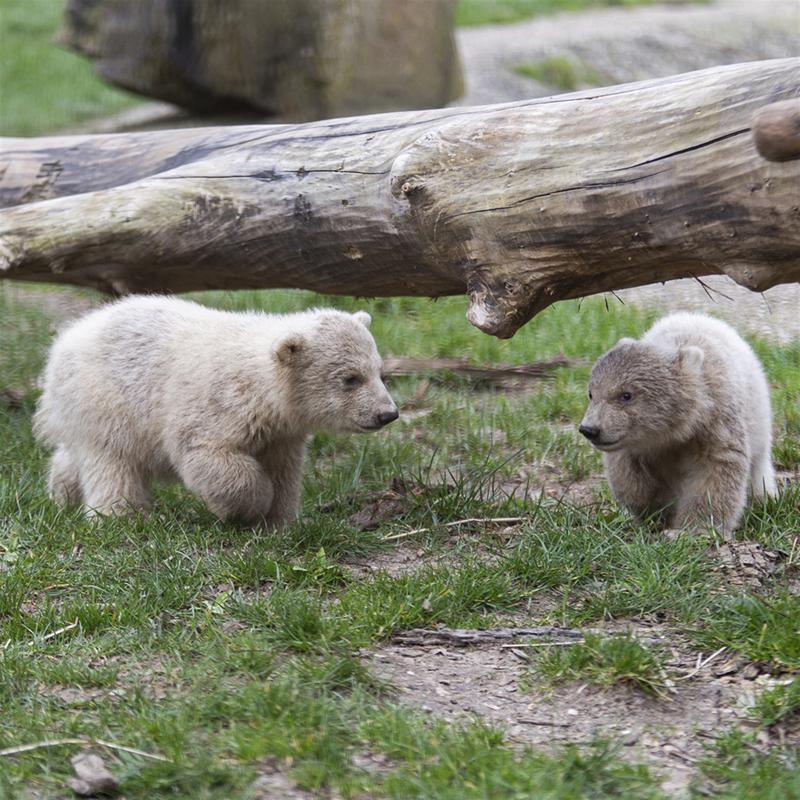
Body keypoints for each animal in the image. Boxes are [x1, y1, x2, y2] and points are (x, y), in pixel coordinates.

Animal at [33, 296, 398, 526]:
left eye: (378, 372)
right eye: (350, 379)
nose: (388, 413)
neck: (260, 385)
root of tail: (64, 341)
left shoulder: (282, 432)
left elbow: (284, 470)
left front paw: (280, 521)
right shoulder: (216, 406)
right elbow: (208, 457)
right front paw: (253, 507)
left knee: (77, 454)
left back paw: (62, 495)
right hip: (106, 399)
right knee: (112, 462)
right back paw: (121, 517)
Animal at [579, 312, 776, 535]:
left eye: (626, 395)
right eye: (591, 393)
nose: (589, 429)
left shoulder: (716, 418)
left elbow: (717, 468)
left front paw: (689, 529)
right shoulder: (633, 446)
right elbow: (630, 477)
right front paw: (656, 513)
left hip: (759, 419)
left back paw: (764, 498)